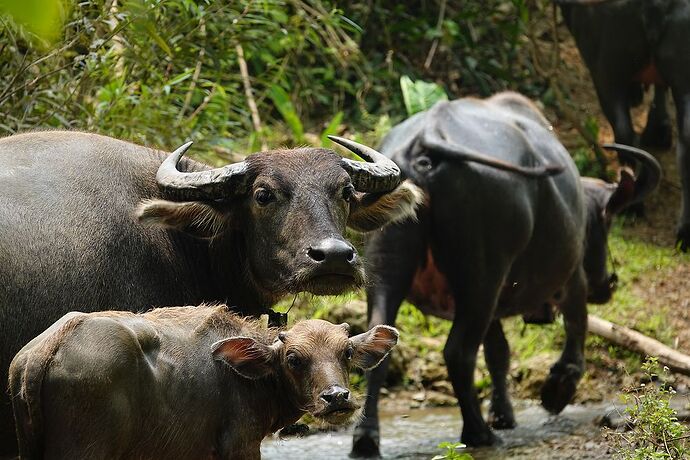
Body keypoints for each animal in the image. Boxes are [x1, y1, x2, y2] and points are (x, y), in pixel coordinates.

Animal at [346, 91, 660, 454]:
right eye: (606, 222)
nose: (607, 283)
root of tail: (426, 145)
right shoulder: (571, 278)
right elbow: (575, 327)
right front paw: (557, 390)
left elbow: (499, 352)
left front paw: (503, 413)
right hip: (483, 276)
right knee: (459, 352)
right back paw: (478, 432)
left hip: (393, 270)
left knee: (378, 343)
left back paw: (367, 438)